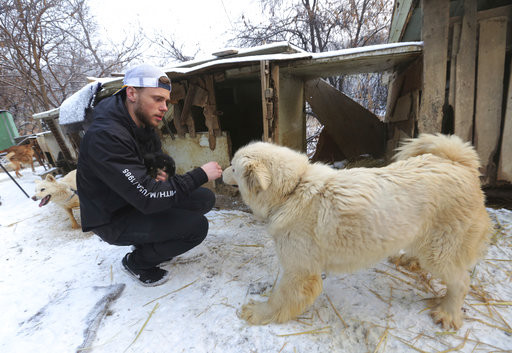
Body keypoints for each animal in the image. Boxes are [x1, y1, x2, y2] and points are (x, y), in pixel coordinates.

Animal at [222, 133, 490, 328]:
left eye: (233, 168)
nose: (220, 170)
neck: (293, 190)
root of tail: (458, 163)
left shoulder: (299, 271)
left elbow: (278, 298)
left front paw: (258, 312)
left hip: (440, 252)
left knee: (461, 282)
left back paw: (448, 313)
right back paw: (408, 261)